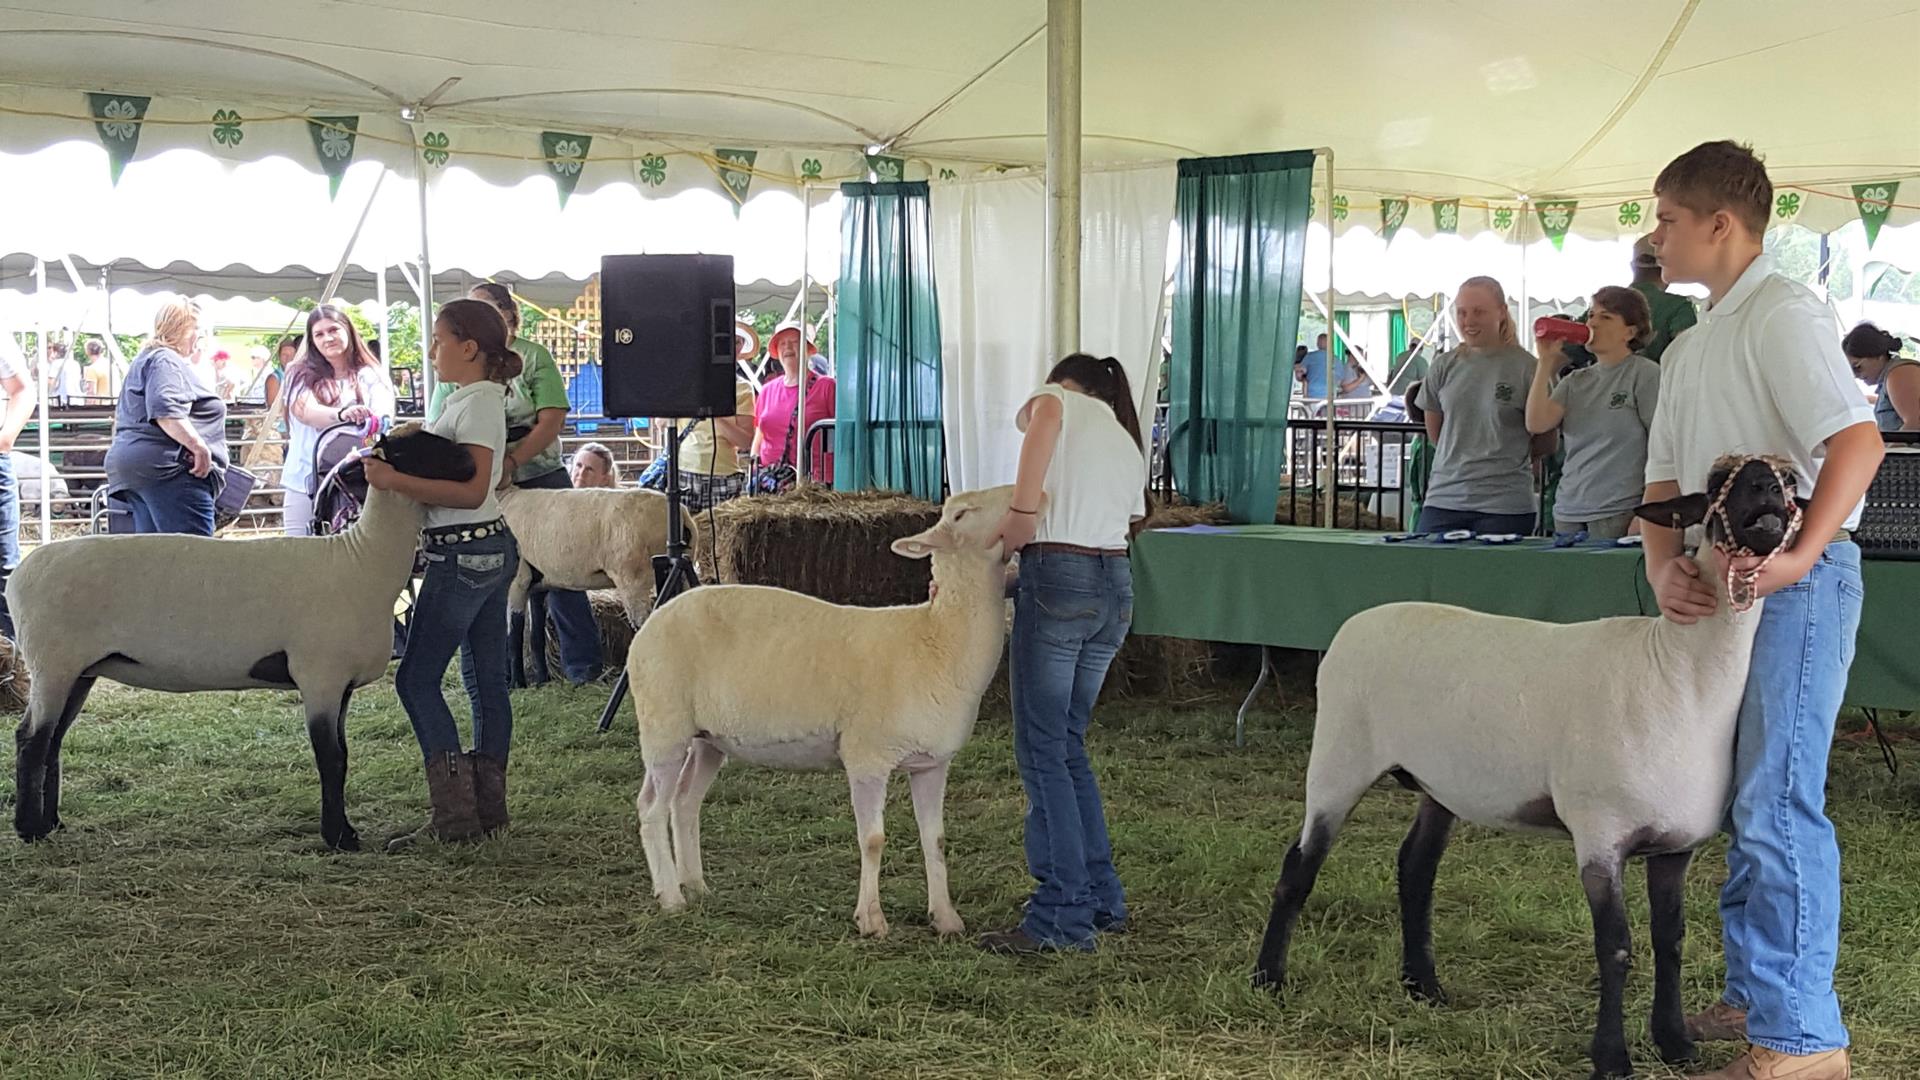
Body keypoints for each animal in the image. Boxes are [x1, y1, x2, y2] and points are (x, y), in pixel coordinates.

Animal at [9, 422, 474, 849]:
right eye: (412, 451)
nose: (472, 463)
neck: (362, 560)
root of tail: (17, 577)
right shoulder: (319, 677)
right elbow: (332, 759)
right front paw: (339, 837)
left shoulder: (340, 685)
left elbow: (341, 755)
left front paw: (345, 831)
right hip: (52, 665)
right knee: (32, 740)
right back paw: (30, 829)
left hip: (80, 671)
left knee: (52, 741)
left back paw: (52, 823)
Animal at [625, 486, 1021, 933]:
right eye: (960, 514)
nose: (1024, 495)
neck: (937, 639)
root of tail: (651, 622)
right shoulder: (867, 756)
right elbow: (873, 840)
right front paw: (871, 919)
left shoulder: (932, 763)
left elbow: (934, 839)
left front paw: (946, 917)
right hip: (663, 725)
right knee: (652, 808)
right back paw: (671, 897)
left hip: (706, 738)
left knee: (684, 802)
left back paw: (695, 886)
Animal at [1251, 453, 1804, 1076]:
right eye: (1715, 485)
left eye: (1791, 482)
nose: (1765, 488)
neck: (1679, 675)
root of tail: (1357, 621)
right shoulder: (1600, 834)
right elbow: (1616, 948)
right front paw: (1612, 1058)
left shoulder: (1675, 844)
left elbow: (1671, 940)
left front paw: (1675, 1044)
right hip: (1339, 755)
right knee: (1299, 866)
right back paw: (1269, 979)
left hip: (1441, 782)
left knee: (1414, 868)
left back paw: (1424, 986)